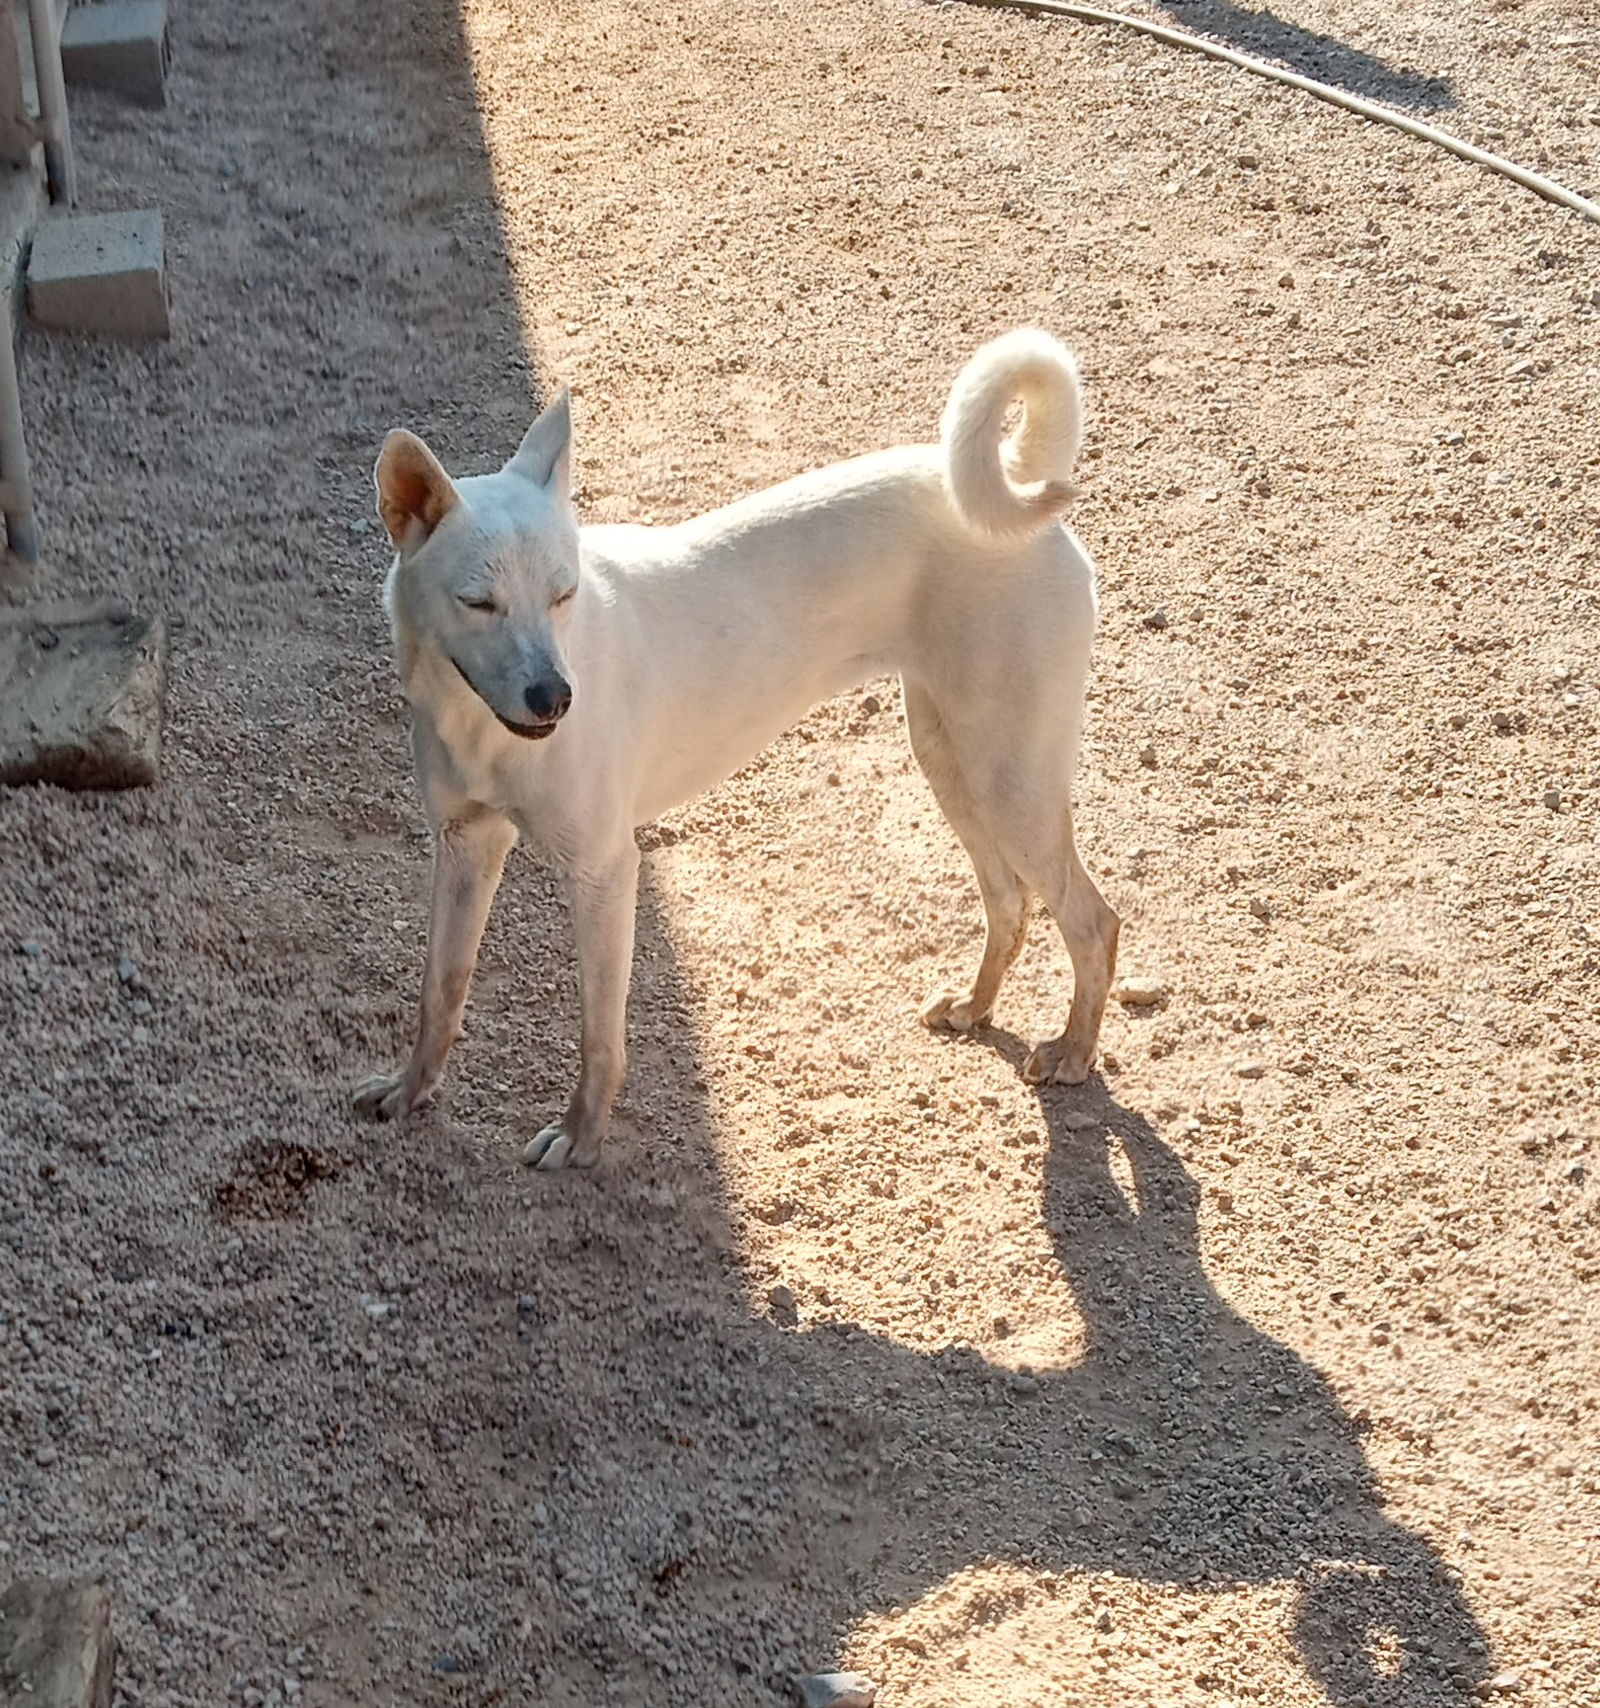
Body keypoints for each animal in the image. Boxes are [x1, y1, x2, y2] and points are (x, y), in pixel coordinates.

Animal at [355, 326, 1120, 1168]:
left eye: (564, 593)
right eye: (478, 603)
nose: (556, 698)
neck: (478, 721)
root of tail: (1026, 490)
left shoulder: (604, 871)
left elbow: (599, 1035)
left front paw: (582, 1138)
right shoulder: (465, 846)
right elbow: (441, 990)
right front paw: (410, 1091)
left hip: (1008, 777)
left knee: (1093, 921)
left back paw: (1074, 1053)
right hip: (952, 760)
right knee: (1010, 902)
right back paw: (977, 1007)